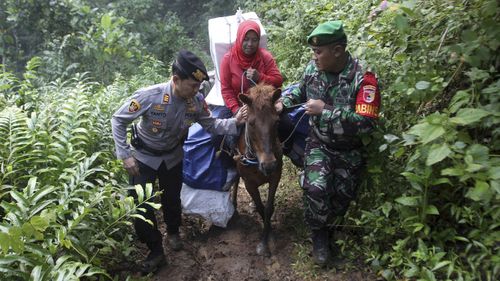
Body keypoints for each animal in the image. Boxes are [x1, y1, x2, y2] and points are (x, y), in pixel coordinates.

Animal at [232, 82, 284, 255]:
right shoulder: (249, 184)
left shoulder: (276, 177)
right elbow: (261, 208)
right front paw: (263, 242)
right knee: (235, 180)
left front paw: (270, 237)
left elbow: (268, 208)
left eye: (276, 122)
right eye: (251, 123)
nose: (269, 164)